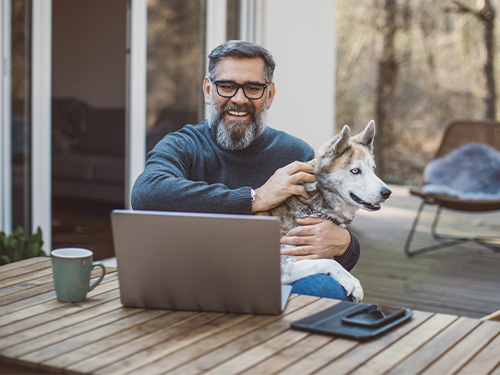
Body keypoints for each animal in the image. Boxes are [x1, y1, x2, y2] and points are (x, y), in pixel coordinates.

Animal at [262, 122, 390, 304]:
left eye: (373, 169)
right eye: (355, 171)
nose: (387, 192)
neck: (311, 206)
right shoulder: (282, 265)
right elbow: (329, 263)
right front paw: (353, 283)